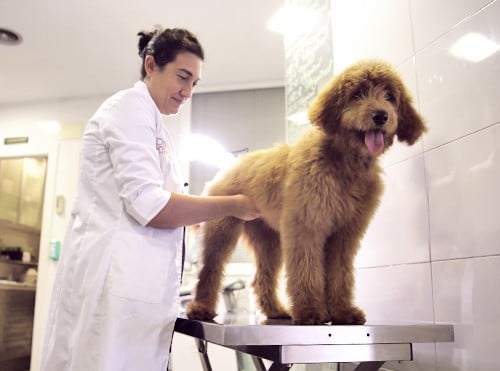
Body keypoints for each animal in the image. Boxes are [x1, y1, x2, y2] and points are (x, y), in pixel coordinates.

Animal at [186, 60, 428, 326]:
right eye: (357, 94)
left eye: (389, 96)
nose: (381, 115)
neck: (343, 161)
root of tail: (229, 166)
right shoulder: (307, 224)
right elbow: (306, 269)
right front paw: (310, 311)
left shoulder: (345, 234)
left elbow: (340, 273)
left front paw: (343, 311)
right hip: (222, 229)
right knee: (210, 270)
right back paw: (200, 308)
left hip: (269, 240)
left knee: (262, 279)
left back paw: (276, 310)